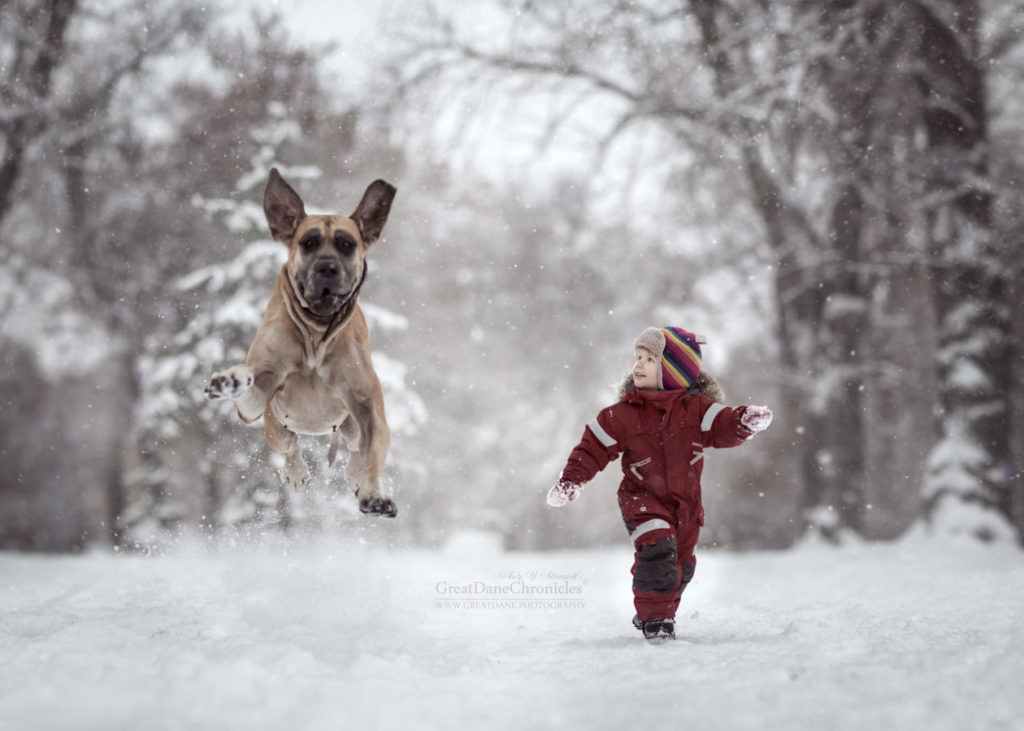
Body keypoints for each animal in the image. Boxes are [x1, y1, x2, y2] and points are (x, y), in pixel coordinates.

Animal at [205, 167, 397, 516]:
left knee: (355, 449)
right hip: (274, 427)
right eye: (308, 243)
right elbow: (249, 387)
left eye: (347, 244)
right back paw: (295, 471)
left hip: (349, 426)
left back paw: (356, 476)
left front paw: (375, 491)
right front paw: (231, 380)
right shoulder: (258, 402)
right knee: (291, 444)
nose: (327, 267)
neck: (316, 334)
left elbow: (374, 449)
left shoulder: (368, 407)